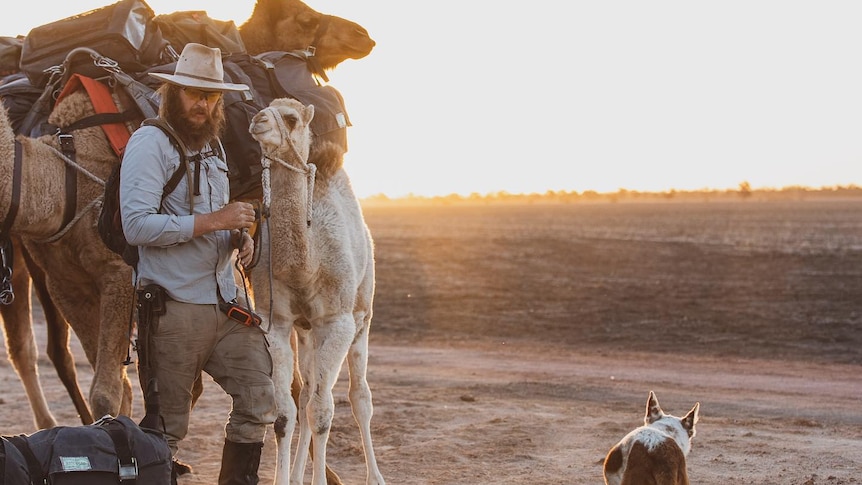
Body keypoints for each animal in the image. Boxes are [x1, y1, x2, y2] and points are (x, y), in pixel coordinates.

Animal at [2, 0, 374, 432]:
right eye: (305, 19)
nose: (363, 36)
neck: (65, 174)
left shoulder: (114, 274)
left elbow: (113, 389)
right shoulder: (66, 282)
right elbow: (116, 387)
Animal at [250, 98, 384, 484]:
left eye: (291, 118)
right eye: (263, 107)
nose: (257, 121)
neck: (304, 266)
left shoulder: (336, 321)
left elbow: (323, 412)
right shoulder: (276, 323)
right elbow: (284, 413)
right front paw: (283, 479)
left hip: (362, 314)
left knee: (359, 397)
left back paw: (376, 476)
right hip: (306, 330)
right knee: (307, 391)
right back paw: (297, 476)